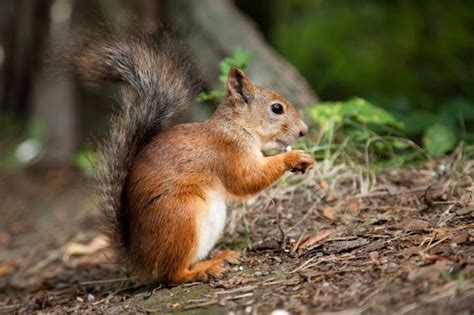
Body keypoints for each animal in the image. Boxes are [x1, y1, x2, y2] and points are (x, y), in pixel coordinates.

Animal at [68, 27, 314, 284]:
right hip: (182, 215)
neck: (236, 127)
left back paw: (220, 256)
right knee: (174, 273)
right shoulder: (226, 152)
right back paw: (204, 270)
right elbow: (246, 180)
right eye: (277, 108)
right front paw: (293, 158)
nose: (304, 131)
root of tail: (139, 259)